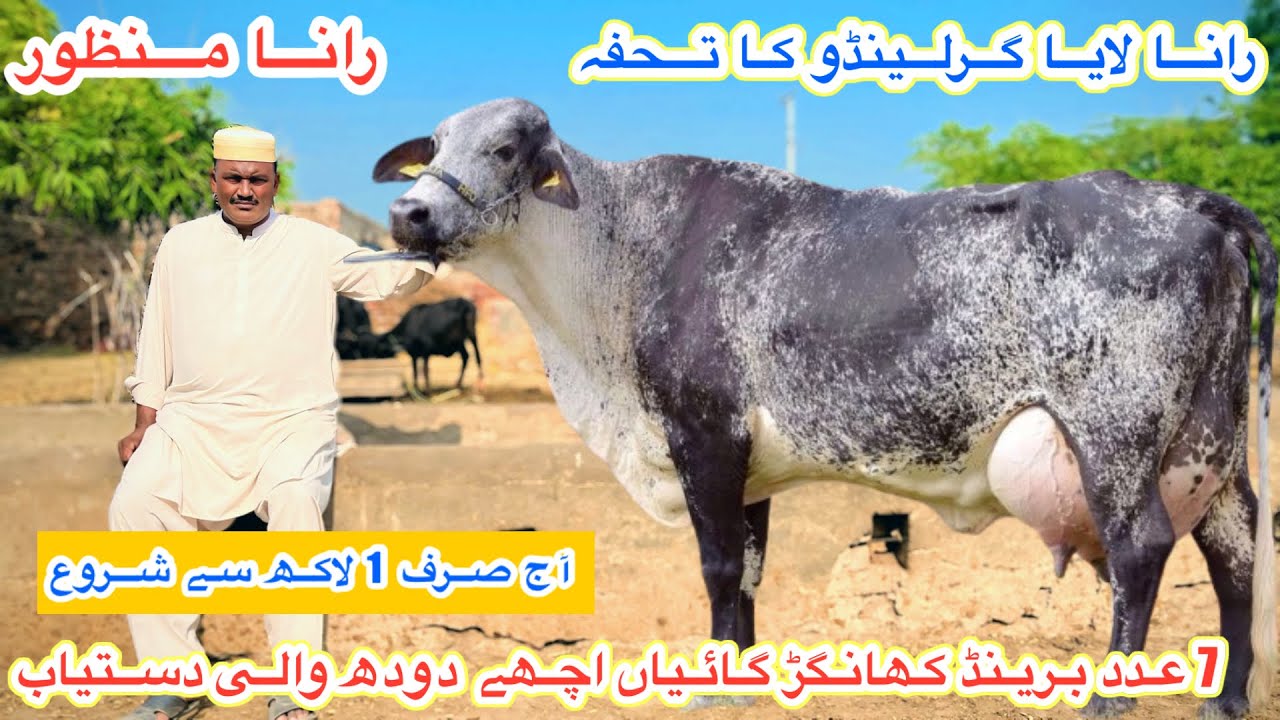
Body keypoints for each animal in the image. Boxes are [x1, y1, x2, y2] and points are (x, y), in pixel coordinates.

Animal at [372, 98, 1276, 717]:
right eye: (434, 148)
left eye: (503, 147)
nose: (408, 212)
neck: (616, 259)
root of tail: (1196, 201)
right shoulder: (748, 470)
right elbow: (750, 571)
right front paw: (743, 672)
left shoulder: (704, 437)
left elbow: (718, 567)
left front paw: (714, 686)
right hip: (1212, 442)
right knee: (1234, 545)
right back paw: (1227, 696)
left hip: (1116, 436)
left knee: (1141, 549)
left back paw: (1111, 694)